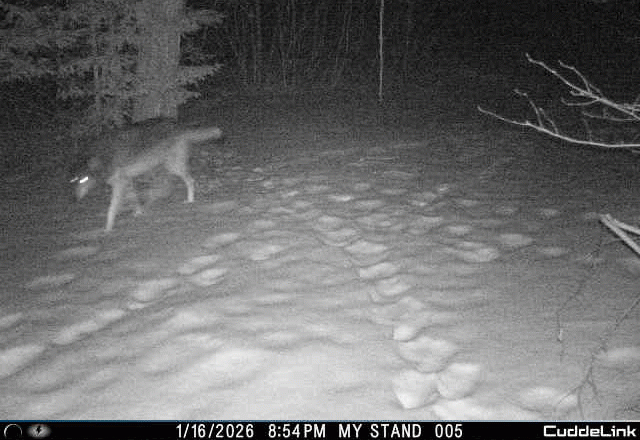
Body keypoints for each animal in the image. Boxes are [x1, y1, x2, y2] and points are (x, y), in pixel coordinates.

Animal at [72, 119, 223, 232]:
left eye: (84, 180)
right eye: (74, 181)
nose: (75, 199)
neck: (103, 158)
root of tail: (178, 126)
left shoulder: (119, 183)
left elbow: (112, 208)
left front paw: (107, 229)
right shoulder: (127, 180)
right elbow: (134, 199)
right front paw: (138, 212)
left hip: (172, 167)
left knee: (189, 181)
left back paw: (189, 200)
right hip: (164, 167)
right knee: (166, 187)